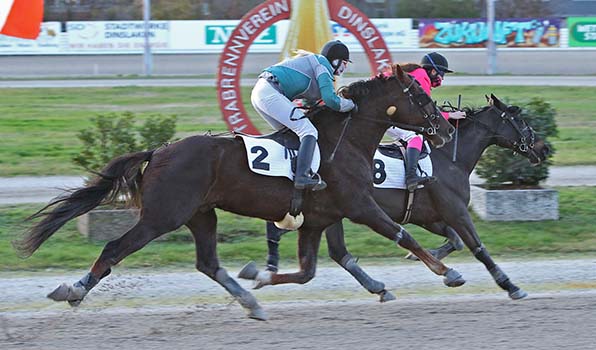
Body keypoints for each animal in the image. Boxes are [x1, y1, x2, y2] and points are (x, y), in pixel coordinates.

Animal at [15, 65, 456, 320]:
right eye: (421, 95)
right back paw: (73, 290)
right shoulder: (360, 205)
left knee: (208, 263)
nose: (444, 129)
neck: (342, 140)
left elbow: (313, 266)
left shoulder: (319, 219)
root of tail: (159, 151)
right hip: (163, 216)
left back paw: (251, 302)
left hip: (200, 214)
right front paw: (447, 271)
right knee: (113, 249)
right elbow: (405, 234)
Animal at [241, 93, 548, 300]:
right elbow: (477, 247)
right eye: (521, 119)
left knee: (336, 252)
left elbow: (454, 240)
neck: (451, 157)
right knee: (326, 248)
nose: (543, 148)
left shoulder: (428, 216)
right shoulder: (455, 210)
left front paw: (427, 257)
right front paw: (510, 285)